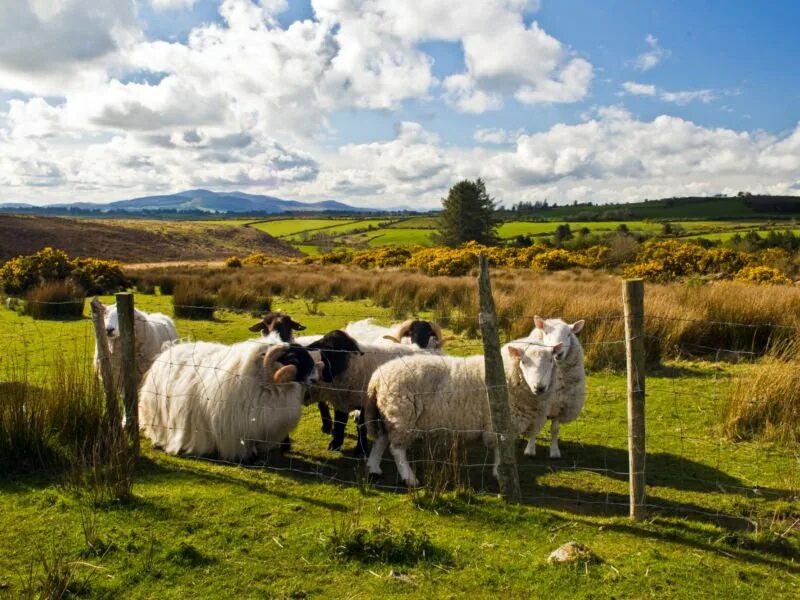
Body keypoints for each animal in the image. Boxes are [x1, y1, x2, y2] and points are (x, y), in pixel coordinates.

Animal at [364, 342, 564, 488]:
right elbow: (499, 449)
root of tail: (377, 378)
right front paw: (499, 472)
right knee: (396, 449)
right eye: (524, 362)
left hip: (386, 415)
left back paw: (373, 468)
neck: (508, 377)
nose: (540, 387)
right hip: (402, 416)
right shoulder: (497, 423)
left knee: (381, 440)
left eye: (551, 361)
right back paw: (409, 478)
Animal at [520, 314, 588, 460]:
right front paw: (530, 449)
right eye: (546, 332)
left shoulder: (560, 406)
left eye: (569, 334)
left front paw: (554, 450)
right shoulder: (537, 406)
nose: (558, 353)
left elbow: (555, 430)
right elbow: (534, 429)